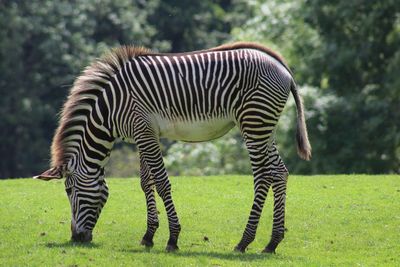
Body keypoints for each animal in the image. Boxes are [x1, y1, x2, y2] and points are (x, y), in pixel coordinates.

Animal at [34, 42, 310, 253]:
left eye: (69, 190)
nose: (76, 238)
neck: (109, 109)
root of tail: (282, 66)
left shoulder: (144, 132)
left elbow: (162, 183)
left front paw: (173, 238)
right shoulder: (144, 134)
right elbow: (146, 183)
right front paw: (148, 236)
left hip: (253, 123)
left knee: (263, 176)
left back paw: (244, 241)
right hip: (264, 126)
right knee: (279, 173)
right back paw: (272, 243)